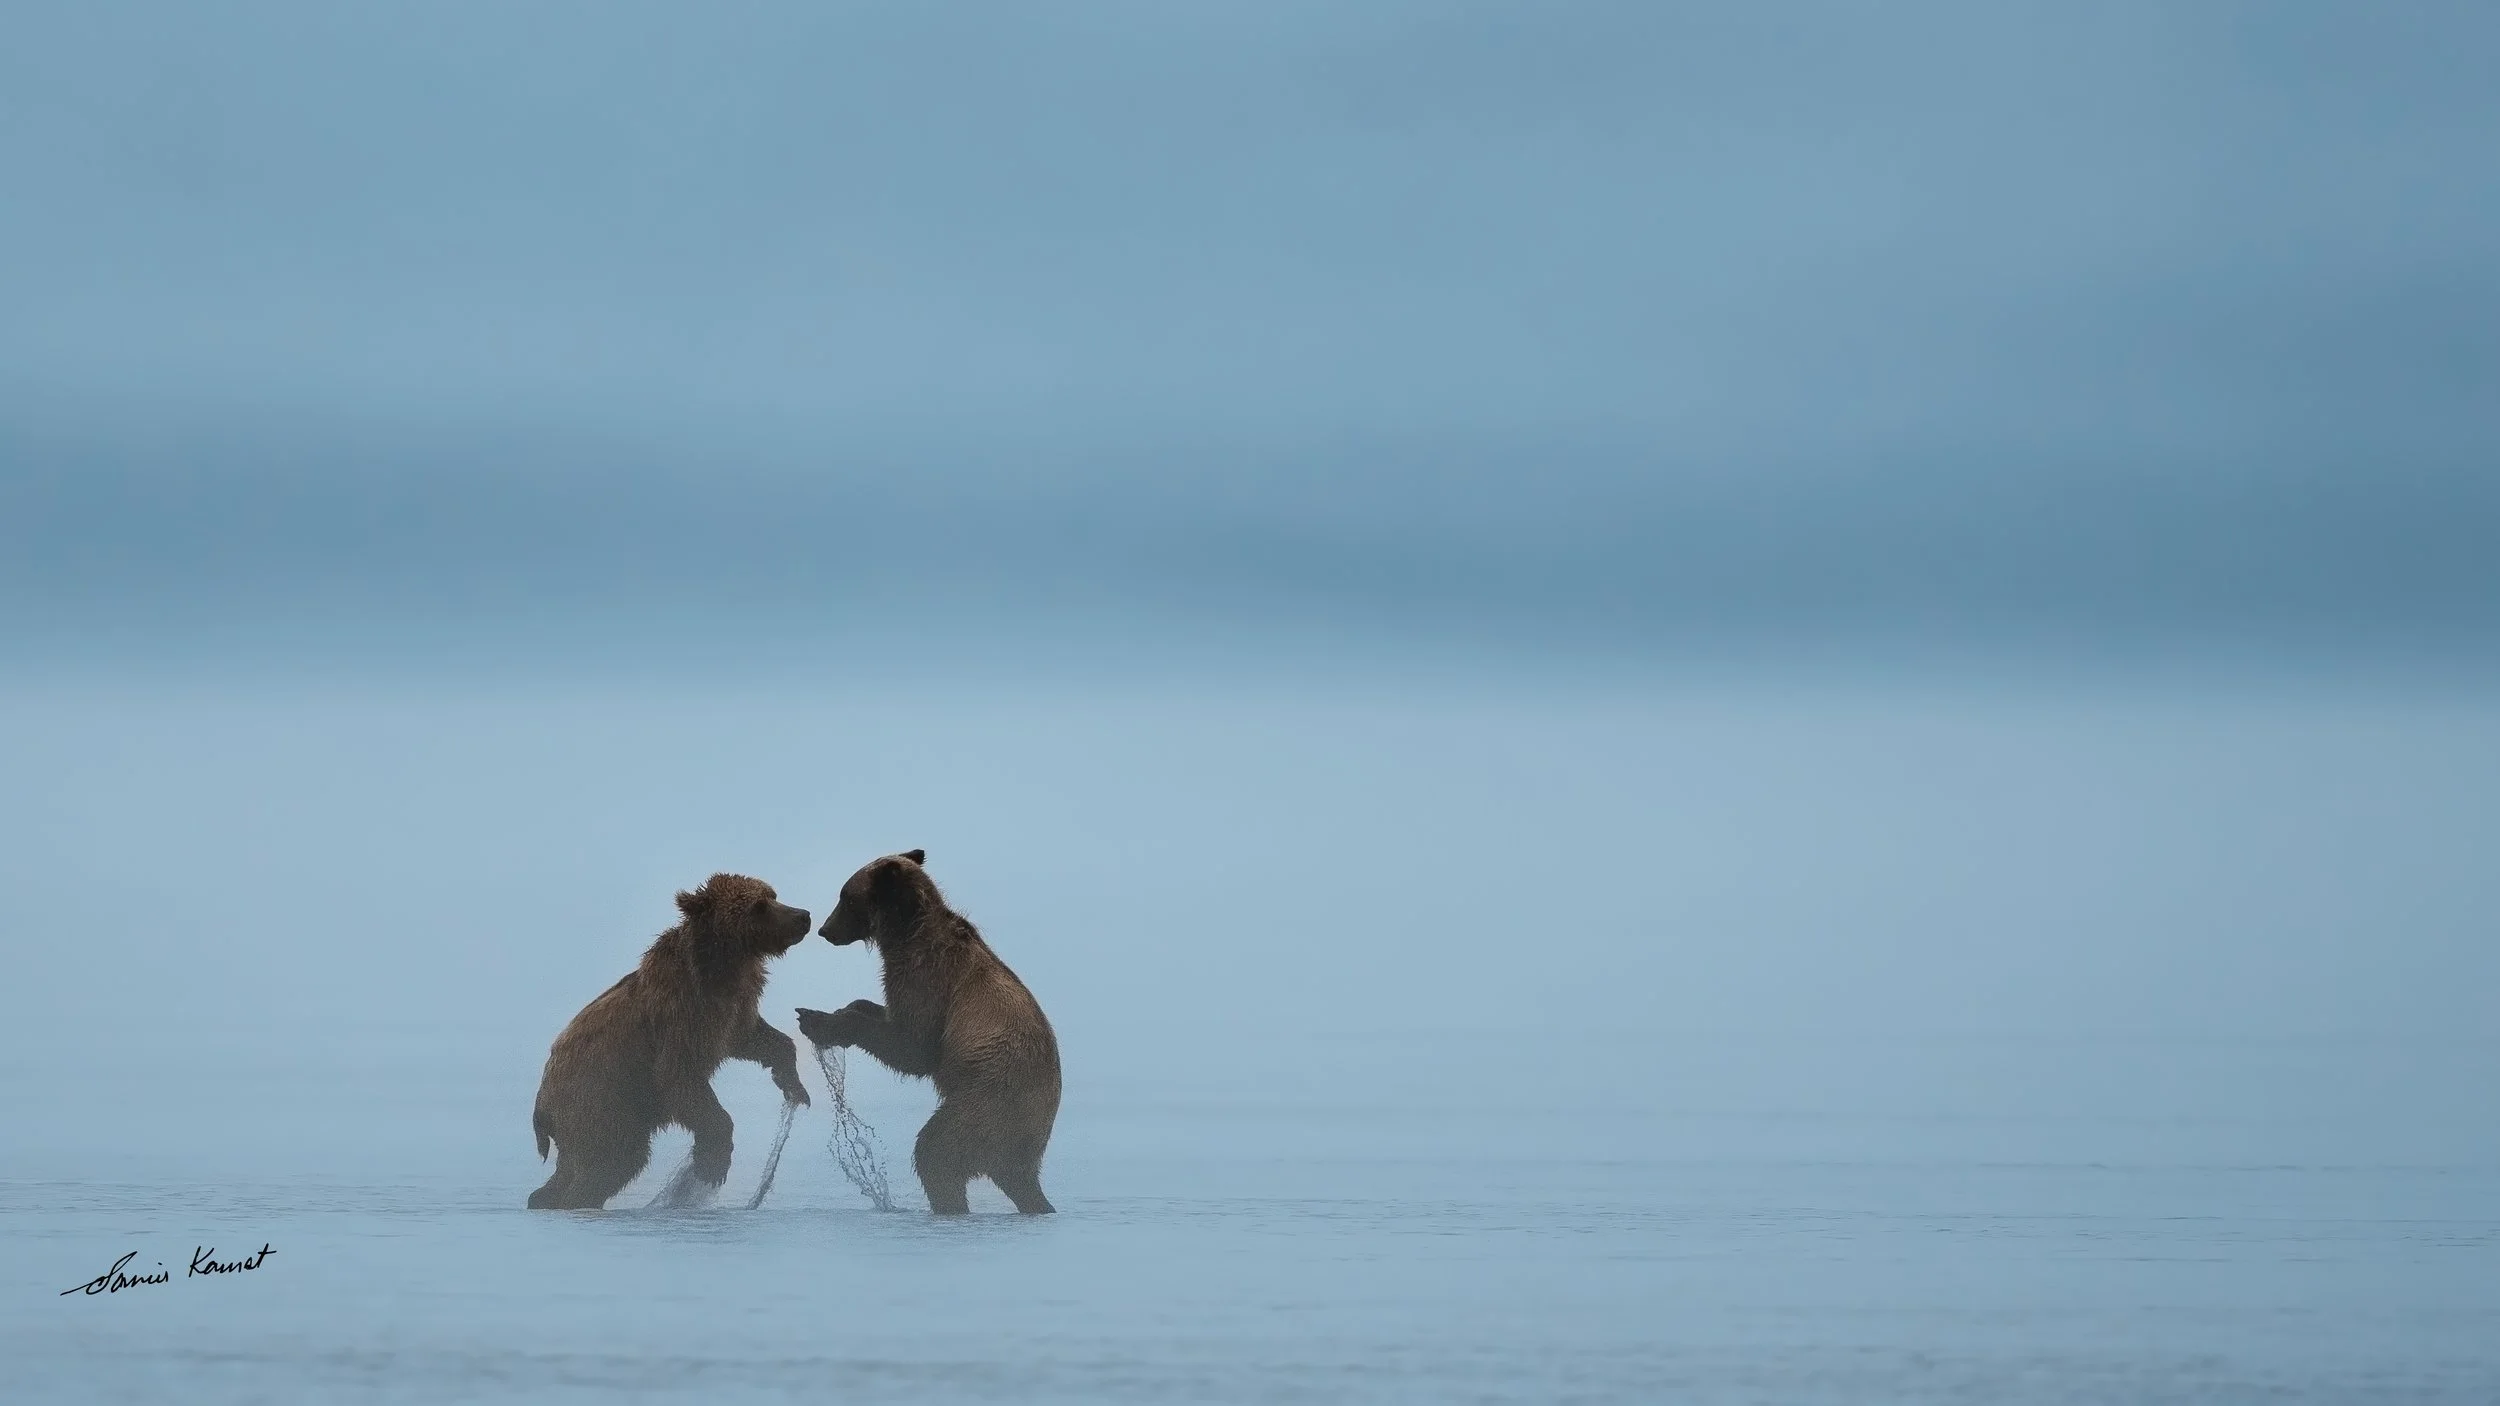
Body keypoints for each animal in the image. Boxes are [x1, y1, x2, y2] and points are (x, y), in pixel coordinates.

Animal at [528, 873, 813, 1210]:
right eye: (759, 906)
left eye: (773, 895)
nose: (803, 916)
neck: (724, 966)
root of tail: (542, 1104)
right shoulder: (678, 1018)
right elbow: (681, 1080)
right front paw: (712, 1162)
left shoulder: (732, 1009)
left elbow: (755, 1039)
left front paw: (793, 1084)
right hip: (601, 1101)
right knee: (610, 1160)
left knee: (589, 1166)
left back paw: (543, 1198)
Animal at [795, 850, 1061, 1214]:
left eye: (846, 897)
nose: (824, 930)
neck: (905, 931)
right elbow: (888, 1017)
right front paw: (846, 1008)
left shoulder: (928, 976)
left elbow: (914, 1048)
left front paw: (817, 1020)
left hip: (987, 1100)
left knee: (937, 1151)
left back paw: (949, 1202)